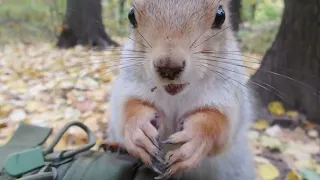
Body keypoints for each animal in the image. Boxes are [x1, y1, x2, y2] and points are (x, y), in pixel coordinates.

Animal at [106, 0, 256, 179]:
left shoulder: (228, 93)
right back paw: (114, 145)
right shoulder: (130, 83)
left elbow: (219, 123)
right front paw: (138, 128)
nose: (168, 67)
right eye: (131, 15)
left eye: (221, 16)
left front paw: (196, 139)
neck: (175, 96)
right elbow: (129, 106)